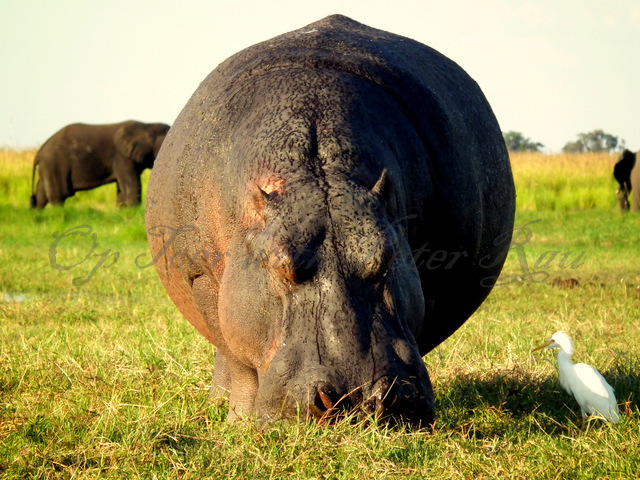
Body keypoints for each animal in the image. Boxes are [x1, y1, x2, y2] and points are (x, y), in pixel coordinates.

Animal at [145, 15, 515, 427]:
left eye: (385, 261)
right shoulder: (203, 279)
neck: (317, 166)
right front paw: (240, 423)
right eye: (281, 267)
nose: (357, 397)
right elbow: (238, 361)